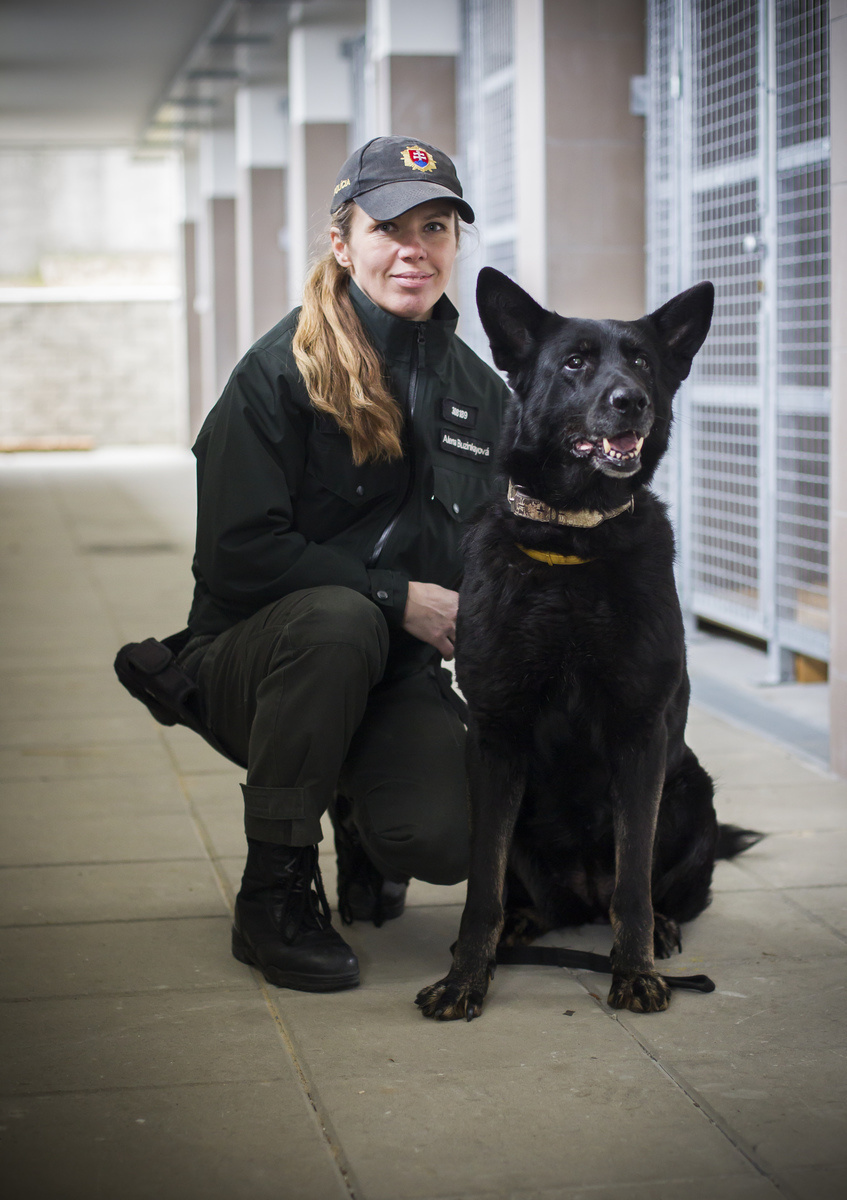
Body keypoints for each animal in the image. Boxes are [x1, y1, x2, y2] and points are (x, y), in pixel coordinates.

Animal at [415, 267, 753, 1017]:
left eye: (644, 364)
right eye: (574, 363)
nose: (631, 403)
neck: (573, 541)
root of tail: (580, 898)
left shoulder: (640, 736)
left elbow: (633, 883)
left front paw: (634, 971)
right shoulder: (495, 739)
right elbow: (480, 886)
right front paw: (465, 978)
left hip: (690, 788)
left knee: (649, 888)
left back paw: (659, 927)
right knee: (527, 898)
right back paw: (517, 926)